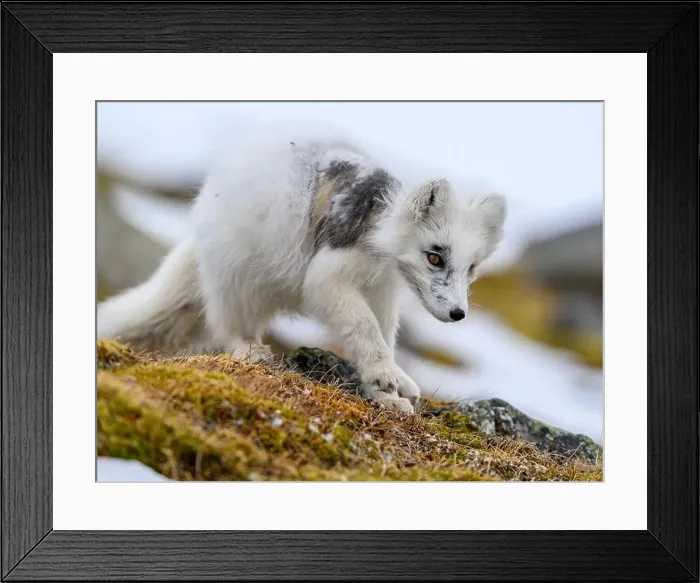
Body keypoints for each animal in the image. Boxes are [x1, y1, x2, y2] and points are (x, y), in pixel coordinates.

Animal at [97, 129, 507, 413]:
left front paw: (389, 393)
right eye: (435, 257)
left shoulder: (383, 291)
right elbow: (364, 327)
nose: (458, 313)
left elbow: (382, 336)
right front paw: (384, 375)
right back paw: (249, 350)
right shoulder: (328, 277)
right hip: (238, 278)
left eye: (472, 268)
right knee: (226, 323)